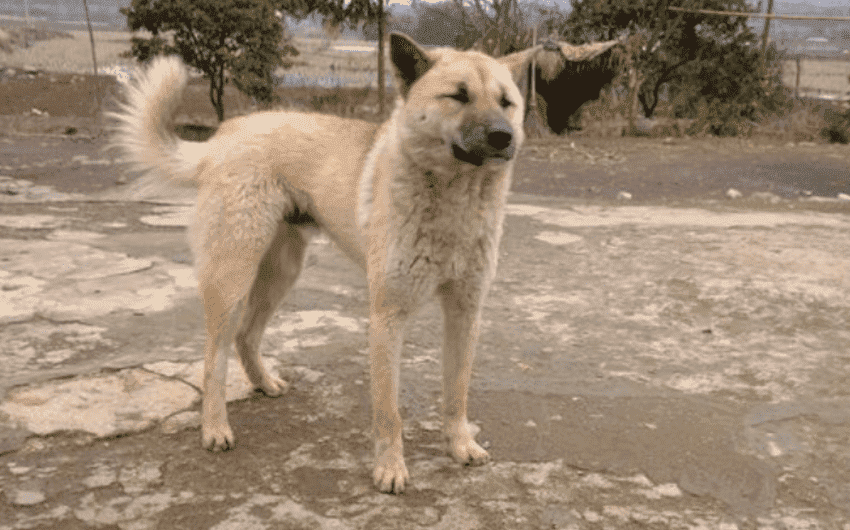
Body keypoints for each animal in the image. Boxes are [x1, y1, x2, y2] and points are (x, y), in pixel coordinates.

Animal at [111, 32, 604, 490]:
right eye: (458, 96)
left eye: (507, 102)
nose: (505, 137)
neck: (454, 201)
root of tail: (221, 137)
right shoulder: (387, 316)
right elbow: (389, 410)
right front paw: (390, 469)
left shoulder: (465, 313)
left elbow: (457, 392)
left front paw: (460, 444)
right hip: (233, 276)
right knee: (214, 355)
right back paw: (215, 428)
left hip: (282, 272)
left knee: (247, 336)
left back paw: (265, 383)